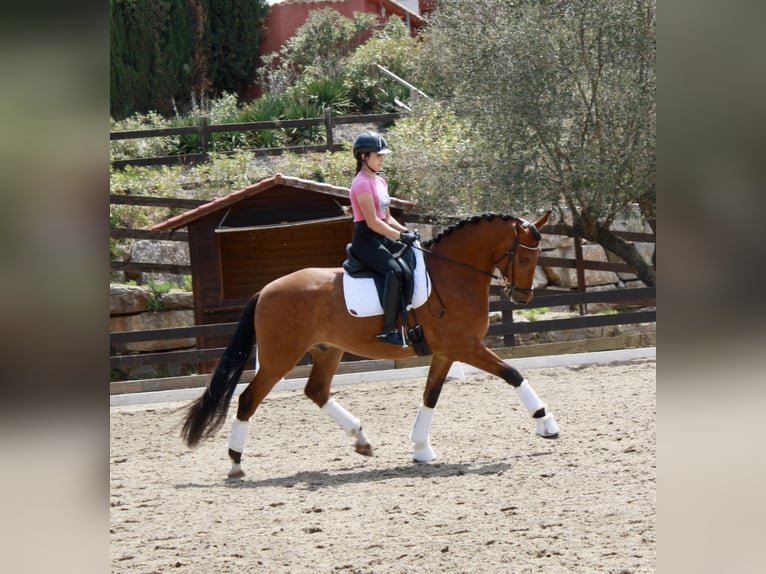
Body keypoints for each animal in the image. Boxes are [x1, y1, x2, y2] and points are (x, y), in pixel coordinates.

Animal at [180, 211, 559, 478]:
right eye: (523, 259)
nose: (523, 297)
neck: (453, 274)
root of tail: (264, 291)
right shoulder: (465, 346)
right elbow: (512, 374)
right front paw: (545, 423)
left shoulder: (446, 352)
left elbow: (430, 395)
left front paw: (421, 448)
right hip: (279, 359)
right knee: (248, 399)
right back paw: (235, 463)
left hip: (327, 350)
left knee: (316, 391)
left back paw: (361, 439)